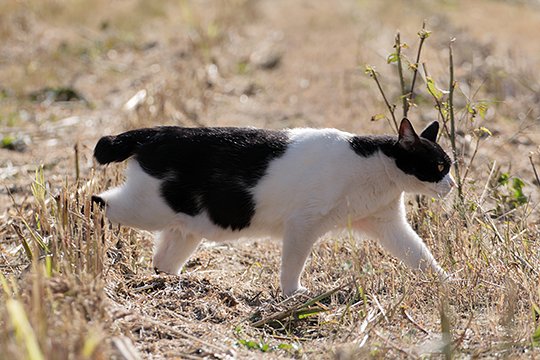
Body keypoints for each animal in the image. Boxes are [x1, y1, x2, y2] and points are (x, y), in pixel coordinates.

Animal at [93, 118, 456, 296]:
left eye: (450, 166)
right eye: (439, 166)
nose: (452, 185)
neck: (378, 170)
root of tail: (157, 131)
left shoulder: (387, 224)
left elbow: (420, 255)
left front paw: (448, 282)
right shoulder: (303, 224)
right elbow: (293, 264)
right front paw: (293, 294)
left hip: (185, 227)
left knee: (162, 262)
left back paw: (175, 286)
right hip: (146, 208)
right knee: (92, 202)